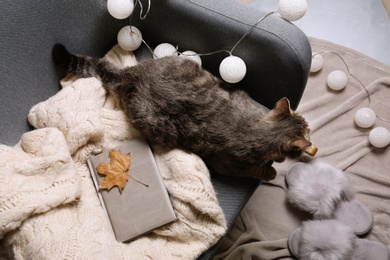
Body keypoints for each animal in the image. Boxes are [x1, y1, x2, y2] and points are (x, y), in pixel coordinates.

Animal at [51, 43, 312, 181]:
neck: (259, 129)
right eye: (308, 128)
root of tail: (131, 74)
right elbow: (259, 170)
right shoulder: (229, 165)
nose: (310, 130)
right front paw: (271, 169)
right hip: (161, 129)